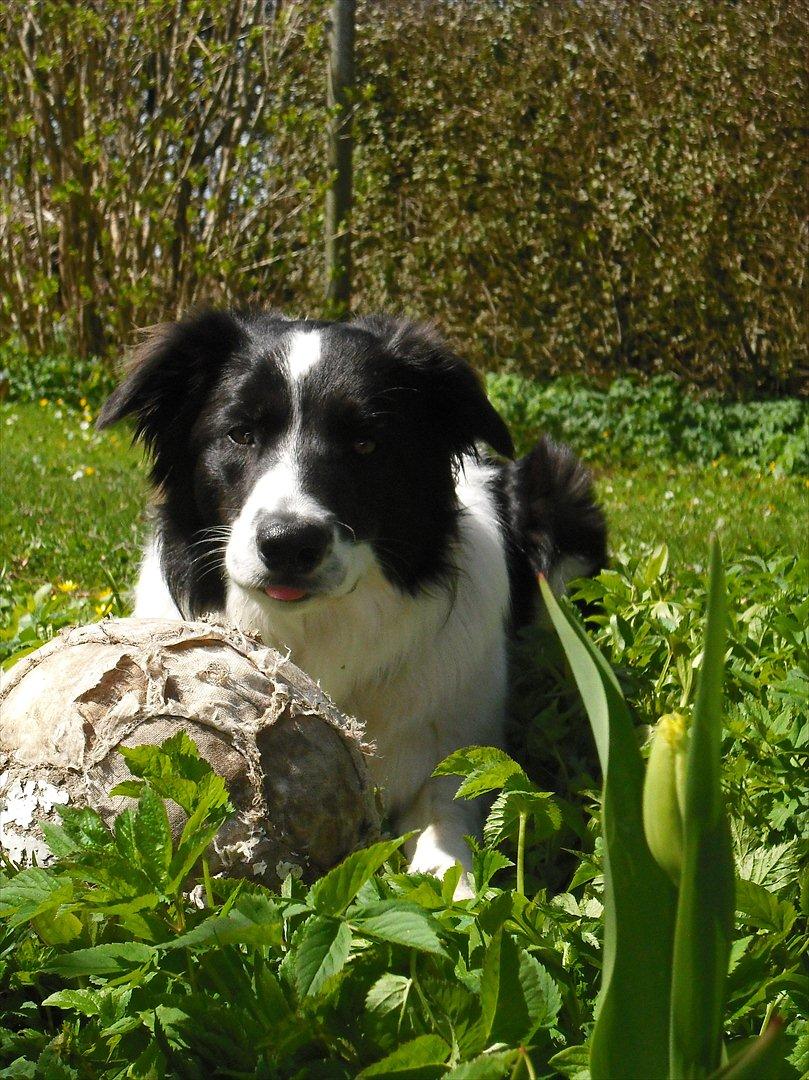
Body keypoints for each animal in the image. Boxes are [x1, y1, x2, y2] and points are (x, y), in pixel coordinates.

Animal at [97, 308, 604, 889]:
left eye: (366, 444)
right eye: (241, 433)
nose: (289, 543)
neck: (318, 631)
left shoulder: (456, 743)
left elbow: (446, 808)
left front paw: (449, 884)